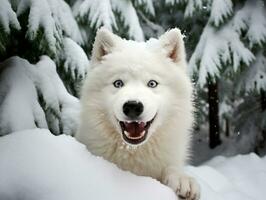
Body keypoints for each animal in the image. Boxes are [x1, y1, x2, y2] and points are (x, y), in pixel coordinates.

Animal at [75, 27, 200, 199]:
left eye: (152, 83)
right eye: (118, 83)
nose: (132, 106)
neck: (135, 151)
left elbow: (171, 168)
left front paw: (182, 179)